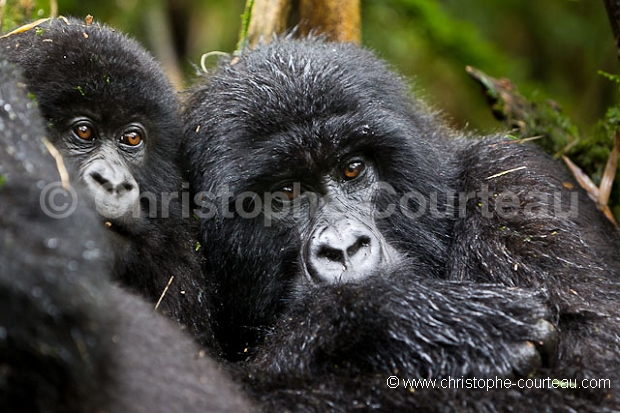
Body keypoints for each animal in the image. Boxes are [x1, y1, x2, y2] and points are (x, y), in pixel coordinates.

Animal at [183, 37, 620, 410]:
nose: (343, 248)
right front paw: (392, 319)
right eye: (287, 192)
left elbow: (590, 384)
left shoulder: (514, 186)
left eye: (352, 169)